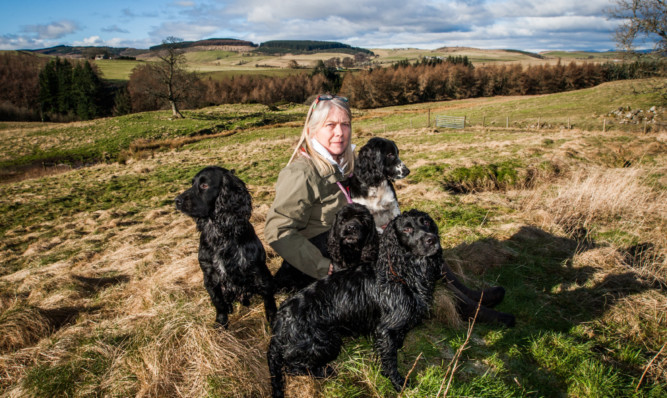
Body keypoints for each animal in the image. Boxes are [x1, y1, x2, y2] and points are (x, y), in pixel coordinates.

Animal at [175, 166, 276, 328]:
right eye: (192, 183)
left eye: (204, 185)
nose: (176, 200)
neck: (220, 235)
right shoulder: (209, 276)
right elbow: (218, 303)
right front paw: (221, 324)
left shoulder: (258, 271)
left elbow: (269, 301)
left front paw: (273, 321)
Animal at [268, 210, 452, 396]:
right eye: (406, 229)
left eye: (426, 223)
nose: (431, 239)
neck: (403, 273)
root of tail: (279, 321)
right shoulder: (385, 330)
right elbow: (390, 360)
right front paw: (399, 384)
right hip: (327, 343)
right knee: (291, 367)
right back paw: (325, 371)